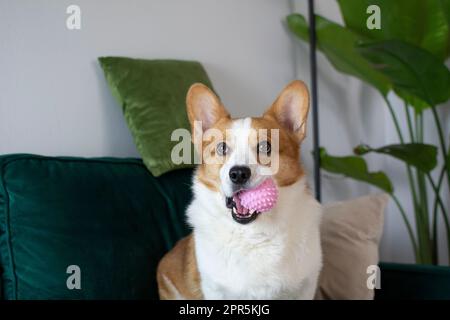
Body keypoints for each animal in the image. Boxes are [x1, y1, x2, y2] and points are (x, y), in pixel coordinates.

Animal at [156, 80, 322, 300]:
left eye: (265, 147)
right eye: (222, 148)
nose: (238, 174)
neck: (253, 233)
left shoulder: (306, 288)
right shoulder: (216, 291)